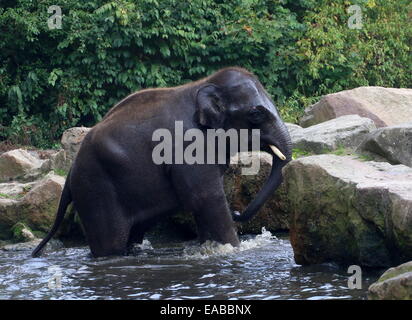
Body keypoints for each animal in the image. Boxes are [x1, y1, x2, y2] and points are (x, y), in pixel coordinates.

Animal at [33, 67, 294, 258]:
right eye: (256, 114)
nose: (237, 210)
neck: (204, 84)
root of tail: (69, 173)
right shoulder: (190, 147)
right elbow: (205, 198)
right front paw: (231, 250)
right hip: (94, 188)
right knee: (111, 243)